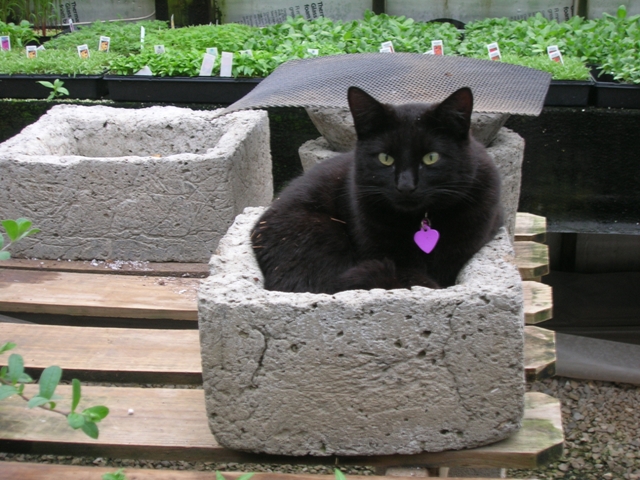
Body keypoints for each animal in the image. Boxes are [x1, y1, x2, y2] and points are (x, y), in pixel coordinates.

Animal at [252, 88, 502, 294]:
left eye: (431, 158)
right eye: (385, 158)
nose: (405, 186)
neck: (422, 220)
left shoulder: (459, 251)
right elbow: (413, 277)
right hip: (314, 230)